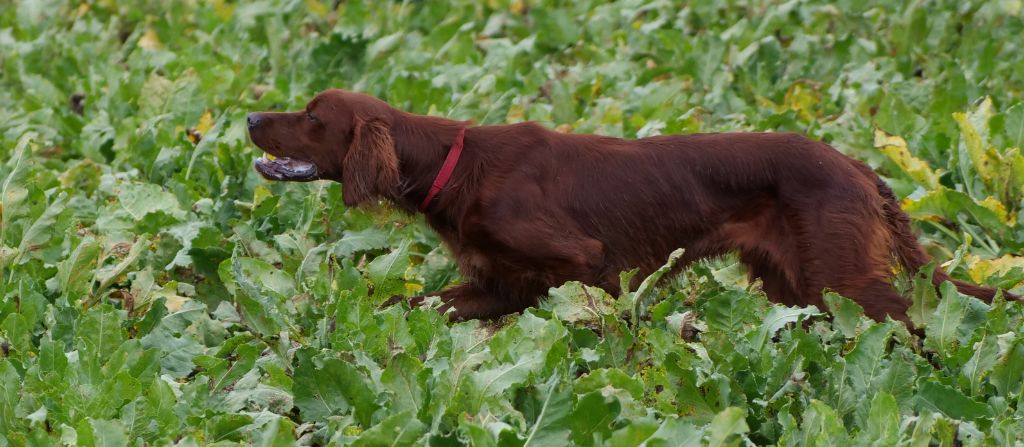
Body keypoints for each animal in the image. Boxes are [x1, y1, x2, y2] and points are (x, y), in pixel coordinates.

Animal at [247, 88, 1015, 323]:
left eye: (312, 116)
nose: (251, 117)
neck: (454, 166)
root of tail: (855, 165)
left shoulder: (588, 264)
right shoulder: (502, 287)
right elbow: (412, 307)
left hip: (841, 278)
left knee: (911, 322)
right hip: (795, 286)